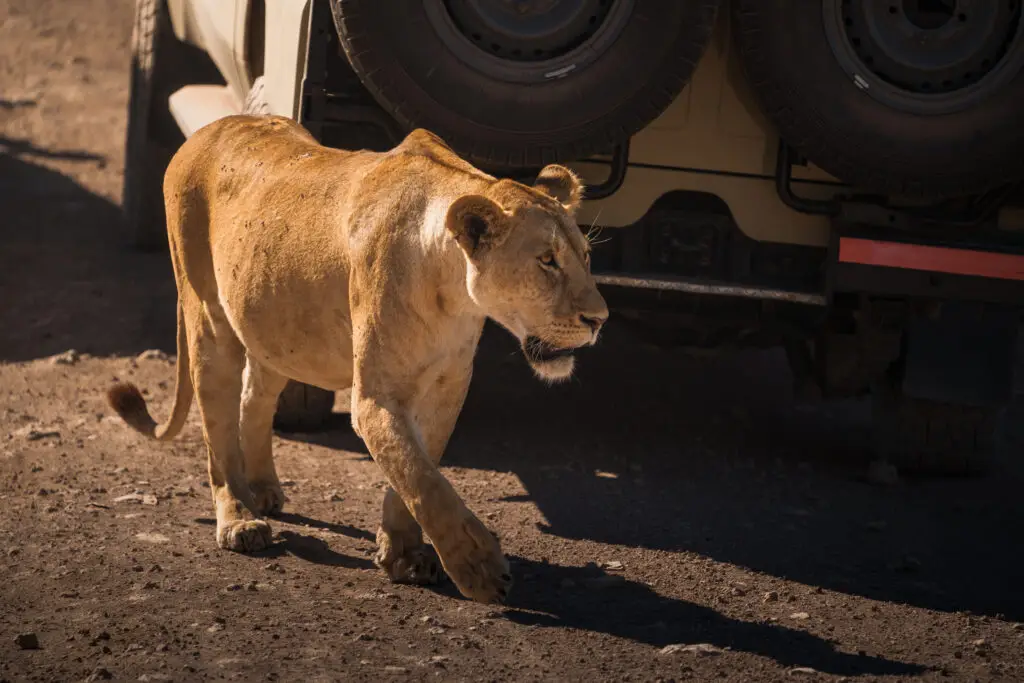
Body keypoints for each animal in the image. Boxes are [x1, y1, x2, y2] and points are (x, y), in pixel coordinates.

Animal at [106, 112, 608, 604]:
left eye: (585, 257)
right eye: (546, 260)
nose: (599, 319)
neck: (454, 292)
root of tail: (210, 128)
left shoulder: (447, 387)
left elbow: (417, 470)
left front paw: (404, 555)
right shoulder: (375, 398)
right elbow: (422, 478)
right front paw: (479, 569)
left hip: (274, 323)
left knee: (255, 398)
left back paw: (264, 488)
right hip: (207, 313)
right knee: (218, 425)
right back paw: (240, 518)